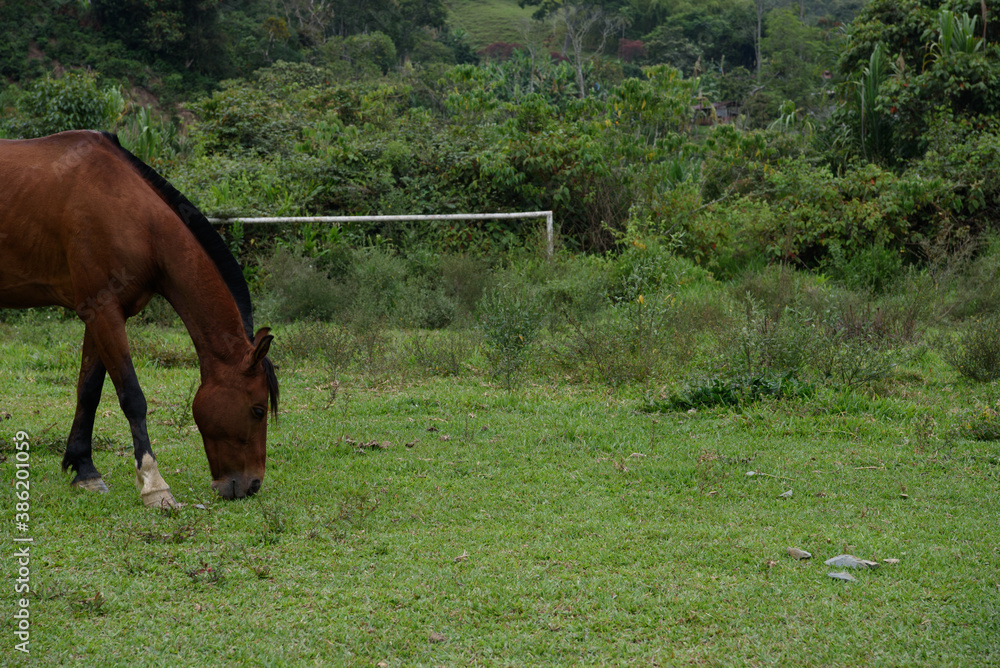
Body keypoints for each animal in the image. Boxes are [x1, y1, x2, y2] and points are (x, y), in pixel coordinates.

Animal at [0, 130, 279, 508]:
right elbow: (132, 397)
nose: (252, 485)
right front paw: (153, 484)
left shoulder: (98, 314)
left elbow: (89, 391)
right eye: (257, 410)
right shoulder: (105, 313)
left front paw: (84, 470)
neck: (133, 216)